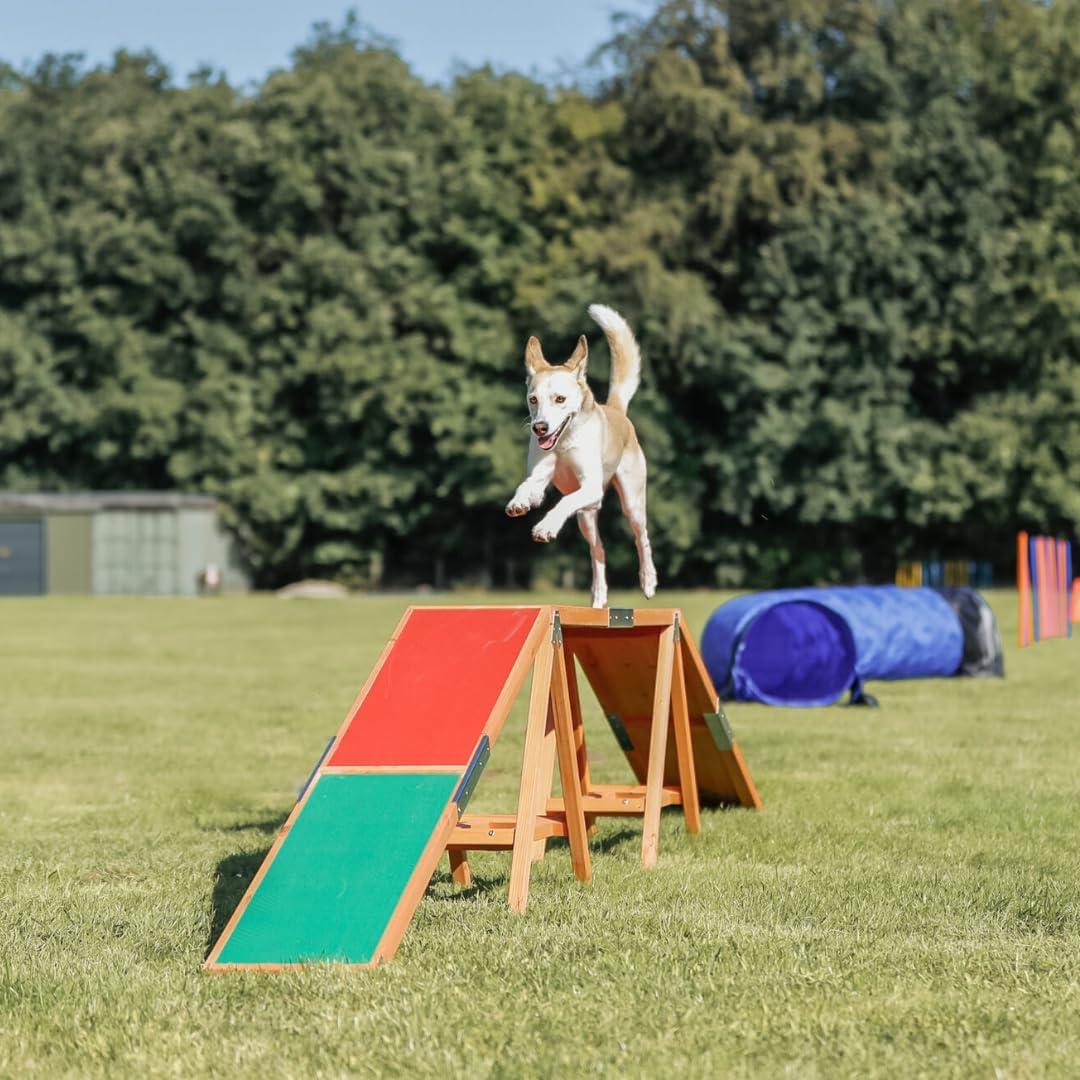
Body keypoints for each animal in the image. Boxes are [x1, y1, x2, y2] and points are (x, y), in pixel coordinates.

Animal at [503, 304, 652, 609]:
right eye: (533, 399)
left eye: (560, 399)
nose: (540, 427)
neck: (563, 442)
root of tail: (616, 409)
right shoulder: (540, 475)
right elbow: (529, 487)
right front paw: (519, 502)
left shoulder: (591, 486)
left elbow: (563, 503)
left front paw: (545, 527)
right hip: (586, 517)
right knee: (598, 551)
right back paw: (598, 598)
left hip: (631, 501)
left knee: (641, 538)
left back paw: (648, 581)